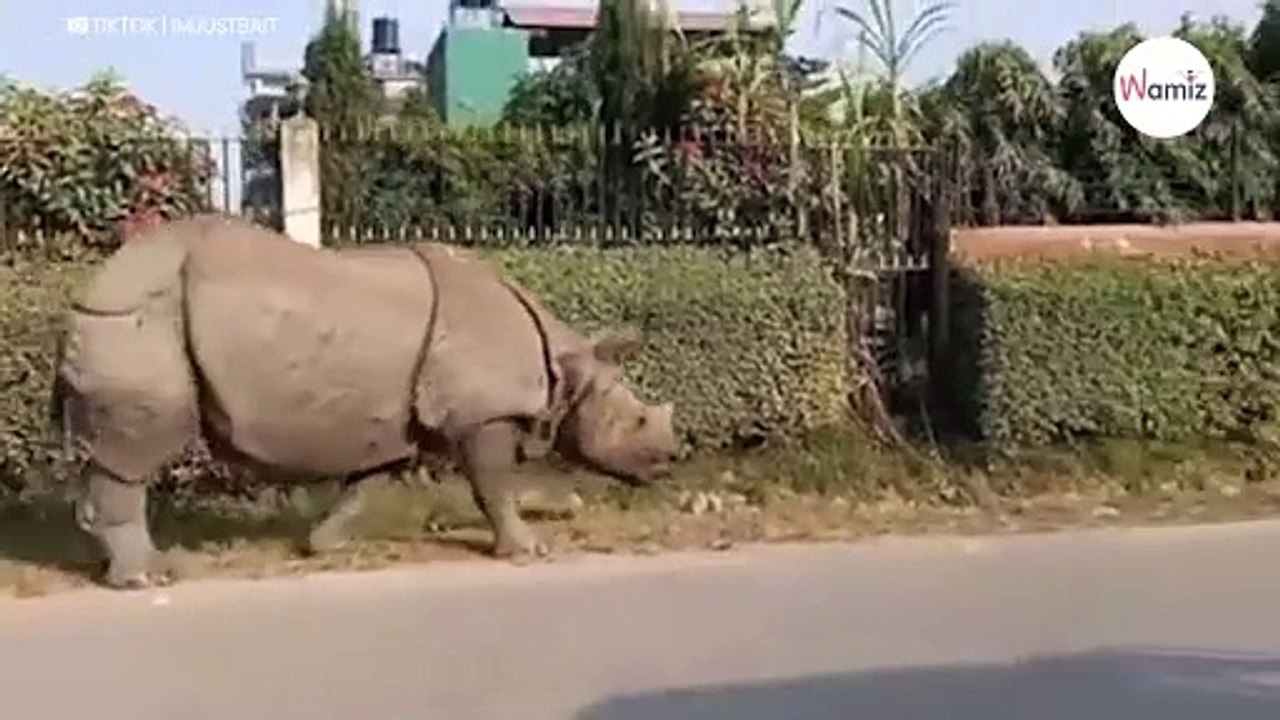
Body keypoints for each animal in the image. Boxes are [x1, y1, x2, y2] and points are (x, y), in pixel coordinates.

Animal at [50, 213, 681, 589]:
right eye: (633, 420)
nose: (670, 459)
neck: (562, 369)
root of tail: (88, 291)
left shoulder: (394, 419)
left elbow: (367, 485)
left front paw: (323, 546)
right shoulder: (484, 414)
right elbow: (493, 486)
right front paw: (530, 551)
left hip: (131, 319)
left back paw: (129, 568)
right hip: (136, 320)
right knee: (138, 451)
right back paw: (149, 578)